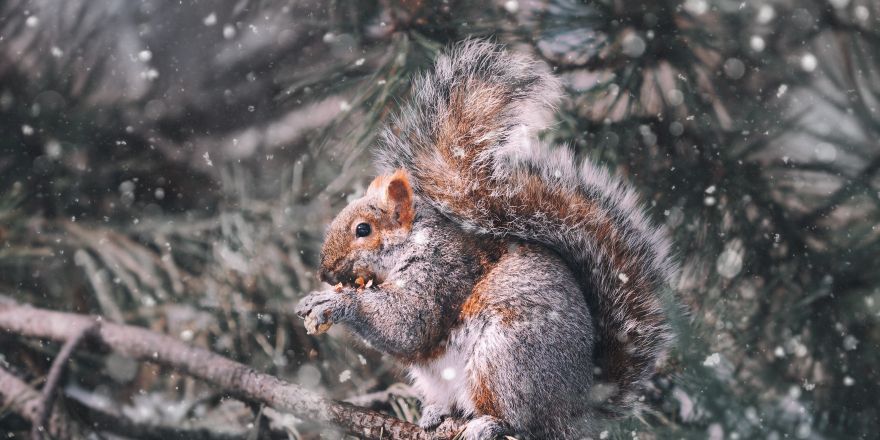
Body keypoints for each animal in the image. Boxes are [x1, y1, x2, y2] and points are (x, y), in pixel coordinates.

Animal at [296, 39, 672, 438]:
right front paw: (314, 298)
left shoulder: (440, 272)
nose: (325, 273)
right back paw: (436, 413)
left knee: (524, 421)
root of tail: (579, 408)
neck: (414, 242)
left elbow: (408, 325)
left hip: (505, 359)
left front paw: (336, 302)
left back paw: (490, 423)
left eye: (363, 229)